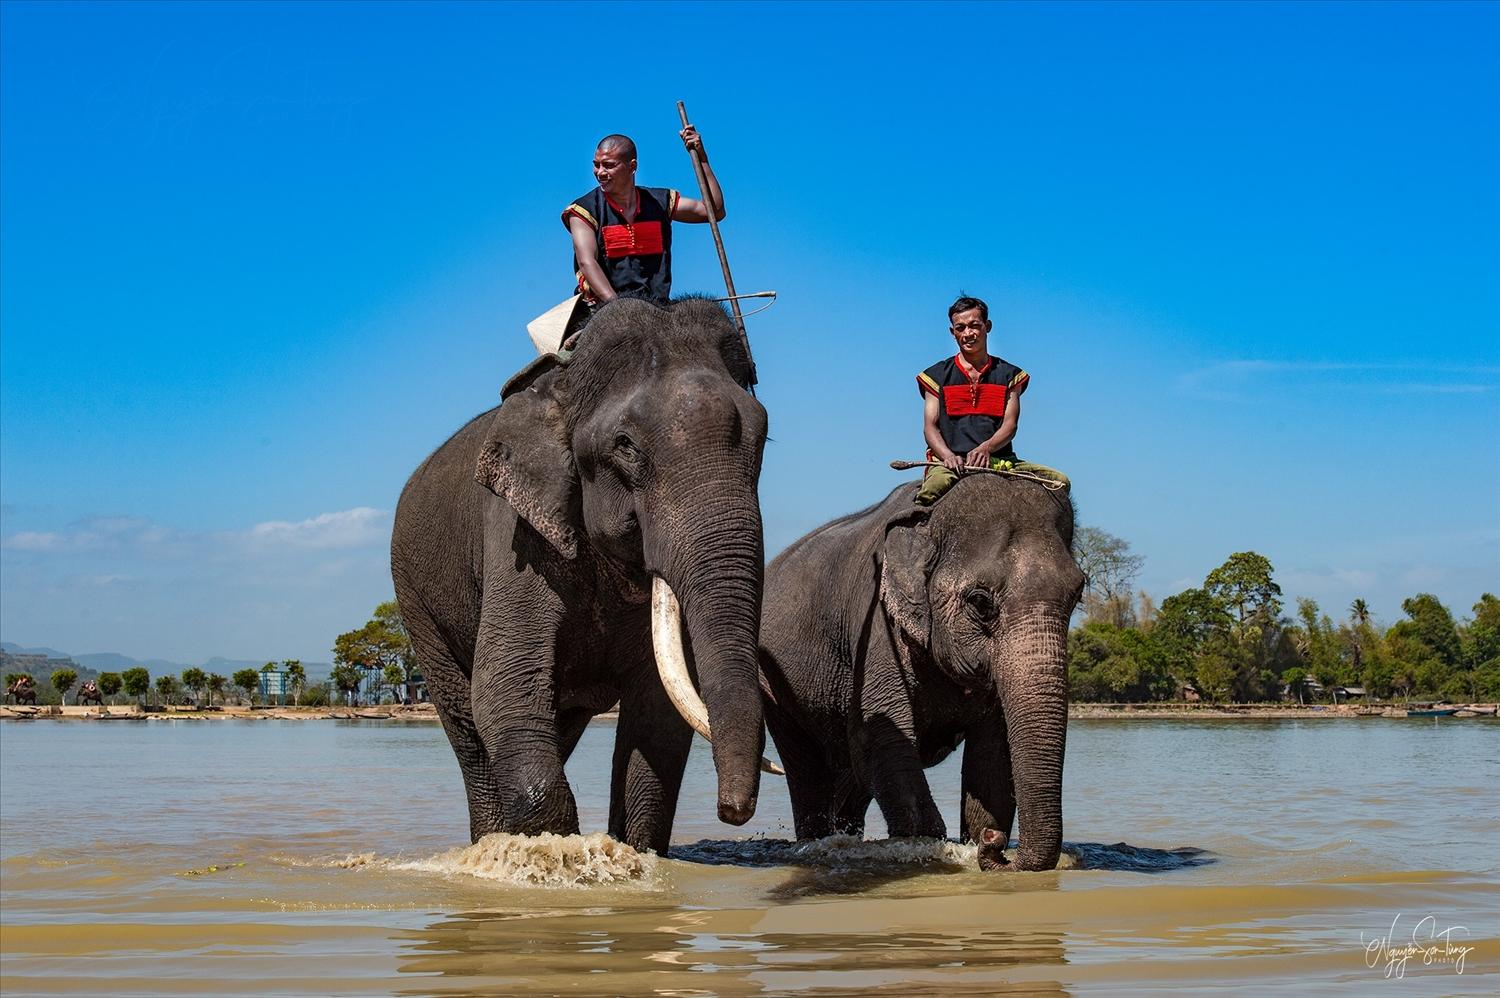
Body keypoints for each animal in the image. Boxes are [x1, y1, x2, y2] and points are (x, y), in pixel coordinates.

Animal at [393, 300, 774, 852]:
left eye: (763, 438)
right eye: (626, 446)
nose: (732, 812)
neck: (561, 386)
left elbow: (656, 716)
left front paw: (630, 855)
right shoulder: (517, 535)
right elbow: (504, 686)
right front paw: (558, 855)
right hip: (417, 603)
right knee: (468, 726)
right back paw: (487, 843)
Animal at [756, 471, 1086, 870]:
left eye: (1077, 595)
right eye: (980, 601)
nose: (995, 844)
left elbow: (992, 756)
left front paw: (978, 839)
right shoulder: (875, 624)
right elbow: (881, 743)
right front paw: (936, 849)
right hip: (774, 684)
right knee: (809, 770)